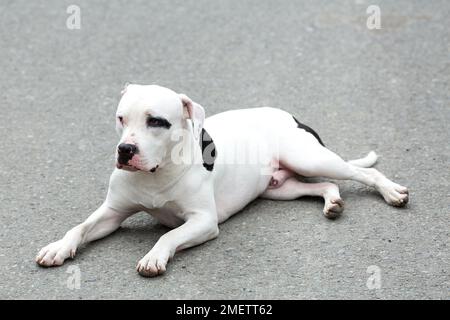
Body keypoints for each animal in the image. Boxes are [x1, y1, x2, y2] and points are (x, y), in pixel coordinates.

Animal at [36, 84, 408, 276]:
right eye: (121, 118)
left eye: (157, 121)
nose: (125, 149)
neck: (156, 174)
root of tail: (290, 115)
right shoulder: (112, 213)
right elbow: (79, 227)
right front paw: (58, 248)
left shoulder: (203, 222)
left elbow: (169, 235)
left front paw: (155, 256)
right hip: (282, 189)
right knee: (324, 185)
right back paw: (332, 202)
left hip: (311, 157)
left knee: (364, 172)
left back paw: (392, 192)